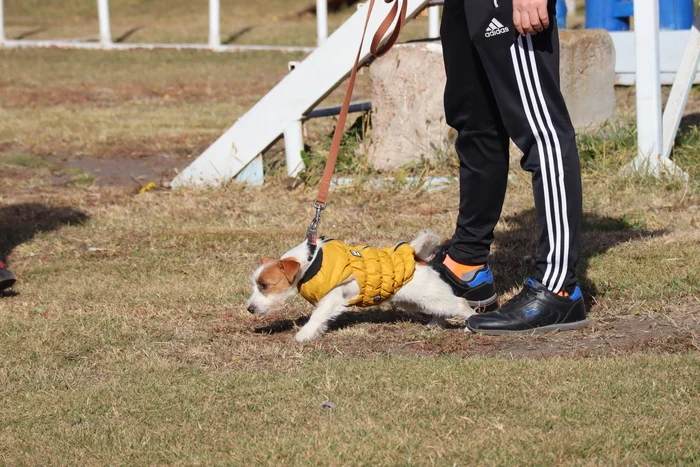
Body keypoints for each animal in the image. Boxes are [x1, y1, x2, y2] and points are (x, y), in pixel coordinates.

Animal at [246, 232, 476, 342]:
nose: (249, 309)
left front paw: (304, 334)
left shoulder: (332, 298)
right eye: (255, 285)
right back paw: (435, 324)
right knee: (441, 310)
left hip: (430, 295)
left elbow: (317, 316)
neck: (310, 262)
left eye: (265, 285)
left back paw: (469, 325)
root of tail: (414, 257)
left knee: (460, 303)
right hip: (412, 301)